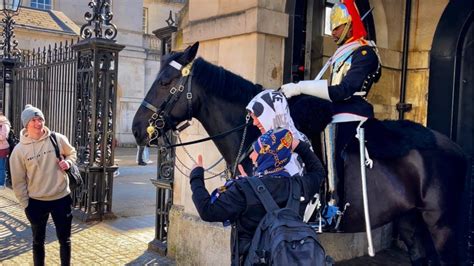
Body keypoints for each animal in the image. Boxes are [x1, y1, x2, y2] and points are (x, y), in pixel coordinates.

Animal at [132, 43, 466, 264]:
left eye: (165, 81)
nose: (137, 129)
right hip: (411, 220)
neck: (258, 132)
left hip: (443, 226)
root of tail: (456, 147)